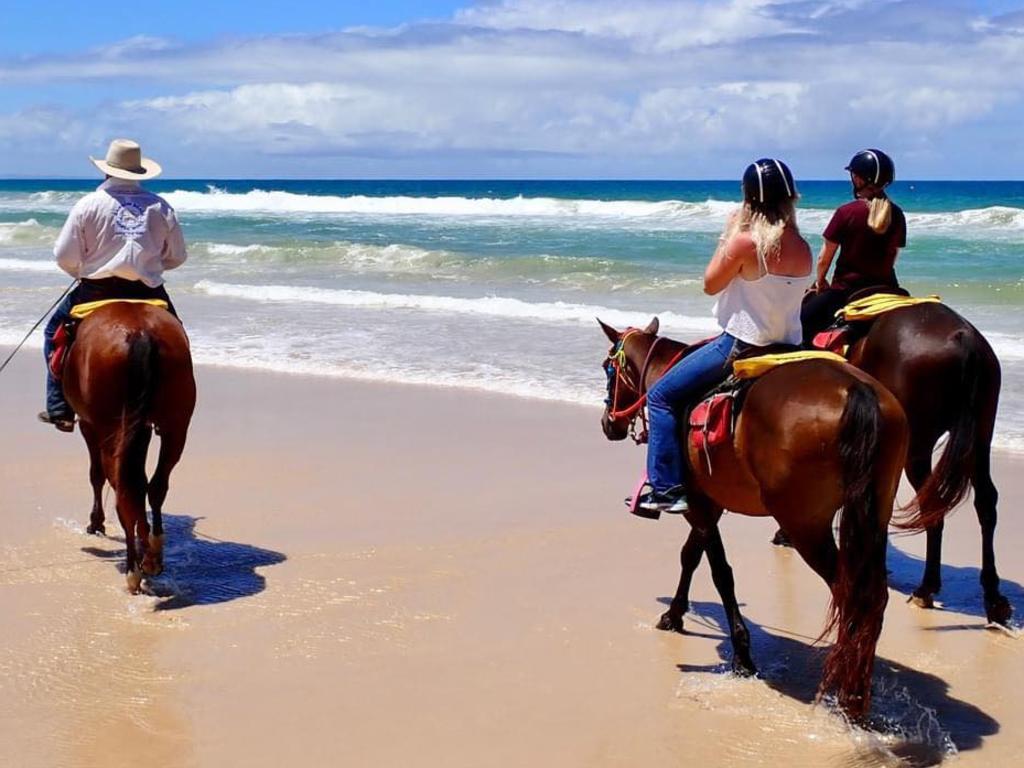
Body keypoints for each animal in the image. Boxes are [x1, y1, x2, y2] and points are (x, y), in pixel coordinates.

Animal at [61, 303, 195, 593]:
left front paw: (96, 522)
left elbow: (96, 475)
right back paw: (152, 553)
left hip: (110, 428)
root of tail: (141, 334)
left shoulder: (89, 426)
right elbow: (142, 481)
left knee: (123, 489)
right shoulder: (142, 428)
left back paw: (134, 568)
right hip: (175, 423)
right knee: (154, 485)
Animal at [598, 319, 913, 720]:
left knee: (852, 594)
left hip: (805, 526)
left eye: (608, 369)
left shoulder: (699, 505)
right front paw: (675, 614)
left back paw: (849, 695)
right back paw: (857, 689)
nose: (608, 424)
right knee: (873, 597)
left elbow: (719, 573)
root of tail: (858, 391)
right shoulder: (709, 504)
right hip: (873, 519)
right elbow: (691, 557)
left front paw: (742, 654)